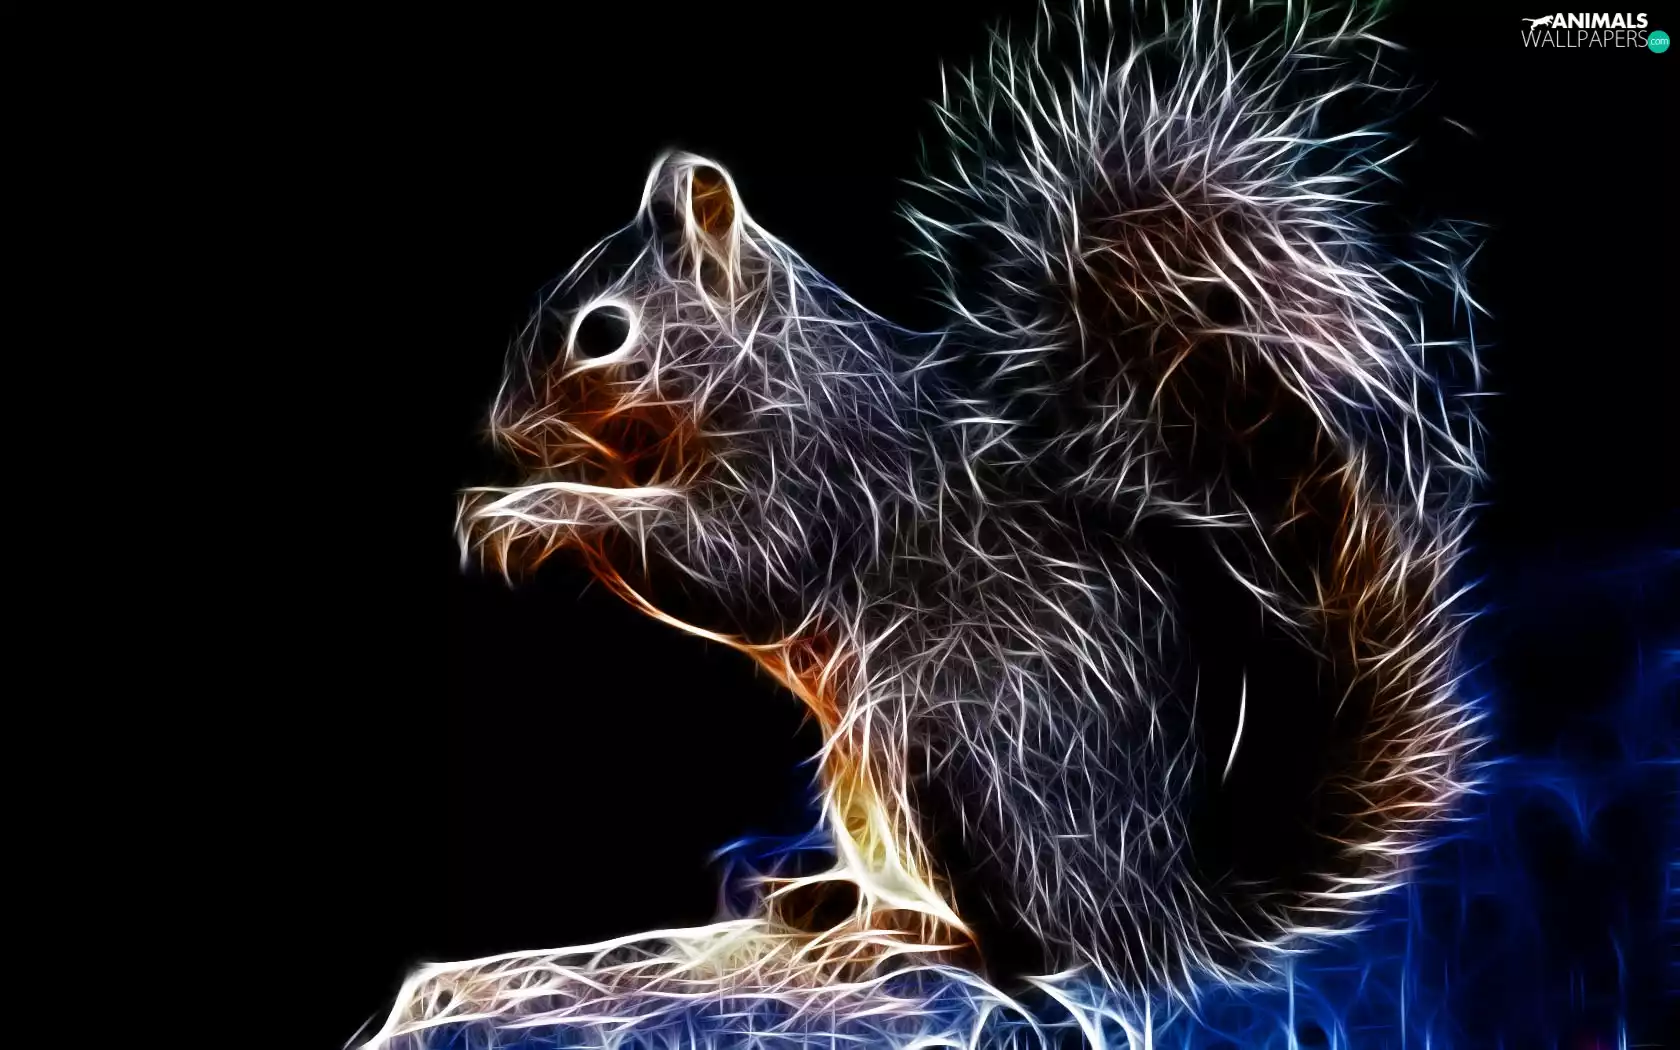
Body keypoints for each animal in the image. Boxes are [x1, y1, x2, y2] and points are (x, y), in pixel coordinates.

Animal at [406, 0, 1485, 1042]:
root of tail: (1160, 916)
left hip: (956, 759)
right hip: (871, 780)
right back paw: (834, 902)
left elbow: (735, 569)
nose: (503, 429)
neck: (762, 364)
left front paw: (535, 507)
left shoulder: (817, 471)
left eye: (602, 332)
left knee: (1041, 960)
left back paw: (903, 944)